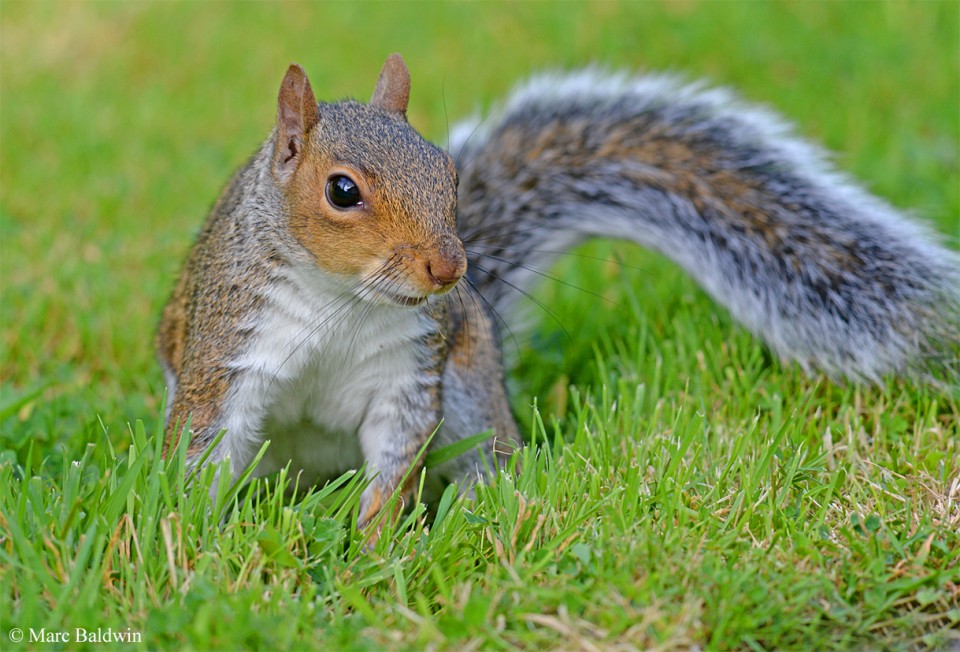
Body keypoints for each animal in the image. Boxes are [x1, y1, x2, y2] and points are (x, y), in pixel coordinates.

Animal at [159, 52, 960, 528]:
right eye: (342, 190)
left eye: (449, 173)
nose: (449, 271)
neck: (345, 301)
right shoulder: (229, 354)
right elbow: (200, 450)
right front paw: (190, 542)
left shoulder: (407, 375)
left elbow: (395, 461)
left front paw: (374, 547)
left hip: (468, 382)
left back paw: (482, 516)